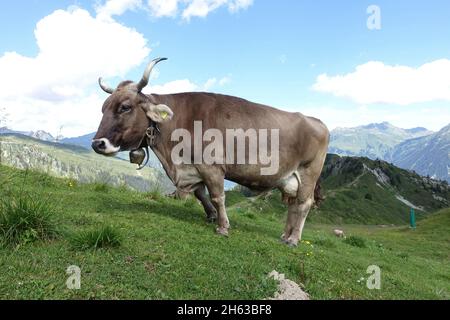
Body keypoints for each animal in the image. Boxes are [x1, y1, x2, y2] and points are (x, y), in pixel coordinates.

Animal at [92, 58, 330, 248]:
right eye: (103, 108)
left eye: (125, 107)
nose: (97, 143)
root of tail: (317, 121)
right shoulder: (194, 167)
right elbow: (200, 193)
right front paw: (211, 216)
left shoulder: (212, 166)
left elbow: (217, 196)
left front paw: (223, 227)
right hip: (289, 178)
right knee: (292, 204)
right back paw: (284, 235)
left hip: (309, 172)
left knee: (303, 204)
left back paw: (293, 239)